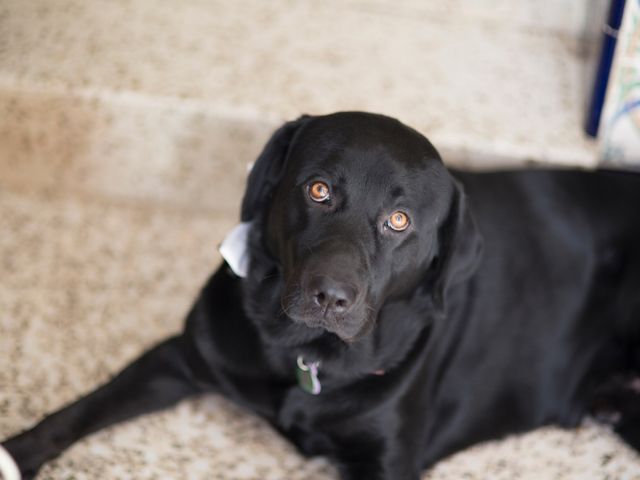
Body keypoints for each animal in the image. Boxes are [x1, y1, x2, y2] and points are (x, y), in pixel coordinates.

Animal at [1, 110, 640, 478]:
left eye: (400, 221)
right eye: (319, 189)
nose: (331, 297)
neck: (305, 355)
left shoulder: (386, 462)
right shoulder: (180, 357)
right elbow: (81, 409)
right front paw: (15, 453)